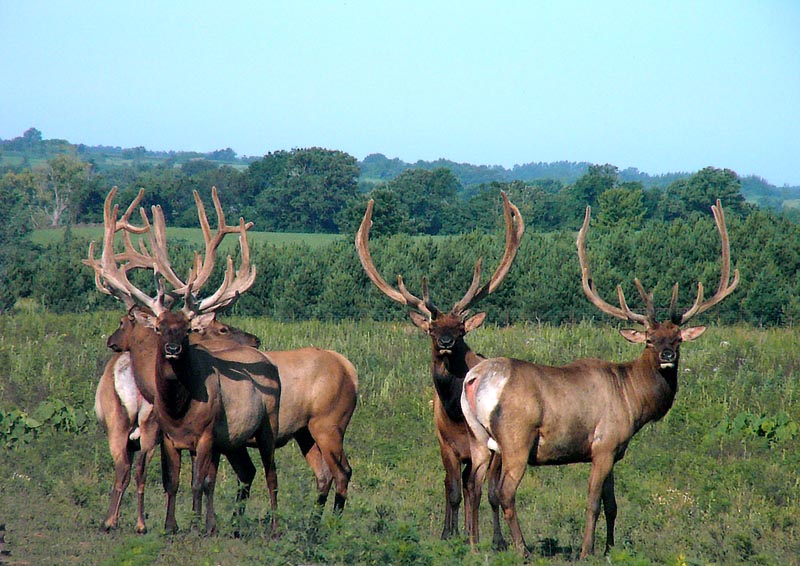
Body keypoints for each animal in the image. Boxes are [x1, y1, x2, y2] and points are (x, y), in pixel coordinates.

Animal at [86, 187, 281, 535]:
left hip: (263, 427)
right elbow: (182, 480)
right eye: (159, 327)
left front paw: (196, 523)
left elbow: (197, 480)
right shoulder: (178, 438)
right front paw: (181, 523)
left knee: (269, 474)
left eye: (189, 328)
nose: (112, 342)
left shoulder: (199, 437)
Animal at [355, 191, 524, 539]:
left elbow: (489, 493)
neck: (456, 416)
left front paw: (495, 541)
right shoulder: (445, 444)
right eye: (432, 329)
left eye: (460, 329)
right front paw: (449, 534)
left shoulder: (492, 448)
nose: (446, 341)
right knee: (455, 485)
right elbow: (453, 490)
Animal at [461, 200, 739, 559]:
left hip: (479, 438)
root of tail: (475, 376)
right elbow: (593, 503)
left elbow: (612, 505)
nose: (667, 356)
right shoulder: (604, 443)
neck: (633, 401)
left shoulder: (615, 450)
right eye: (649, 340)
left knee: (475, 485)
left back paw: (473, 545)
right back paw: (522, 551)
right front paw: (585, 551)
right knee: (505, 492)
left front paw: (609, 549)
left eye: (677, 338)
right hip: (516, 438)